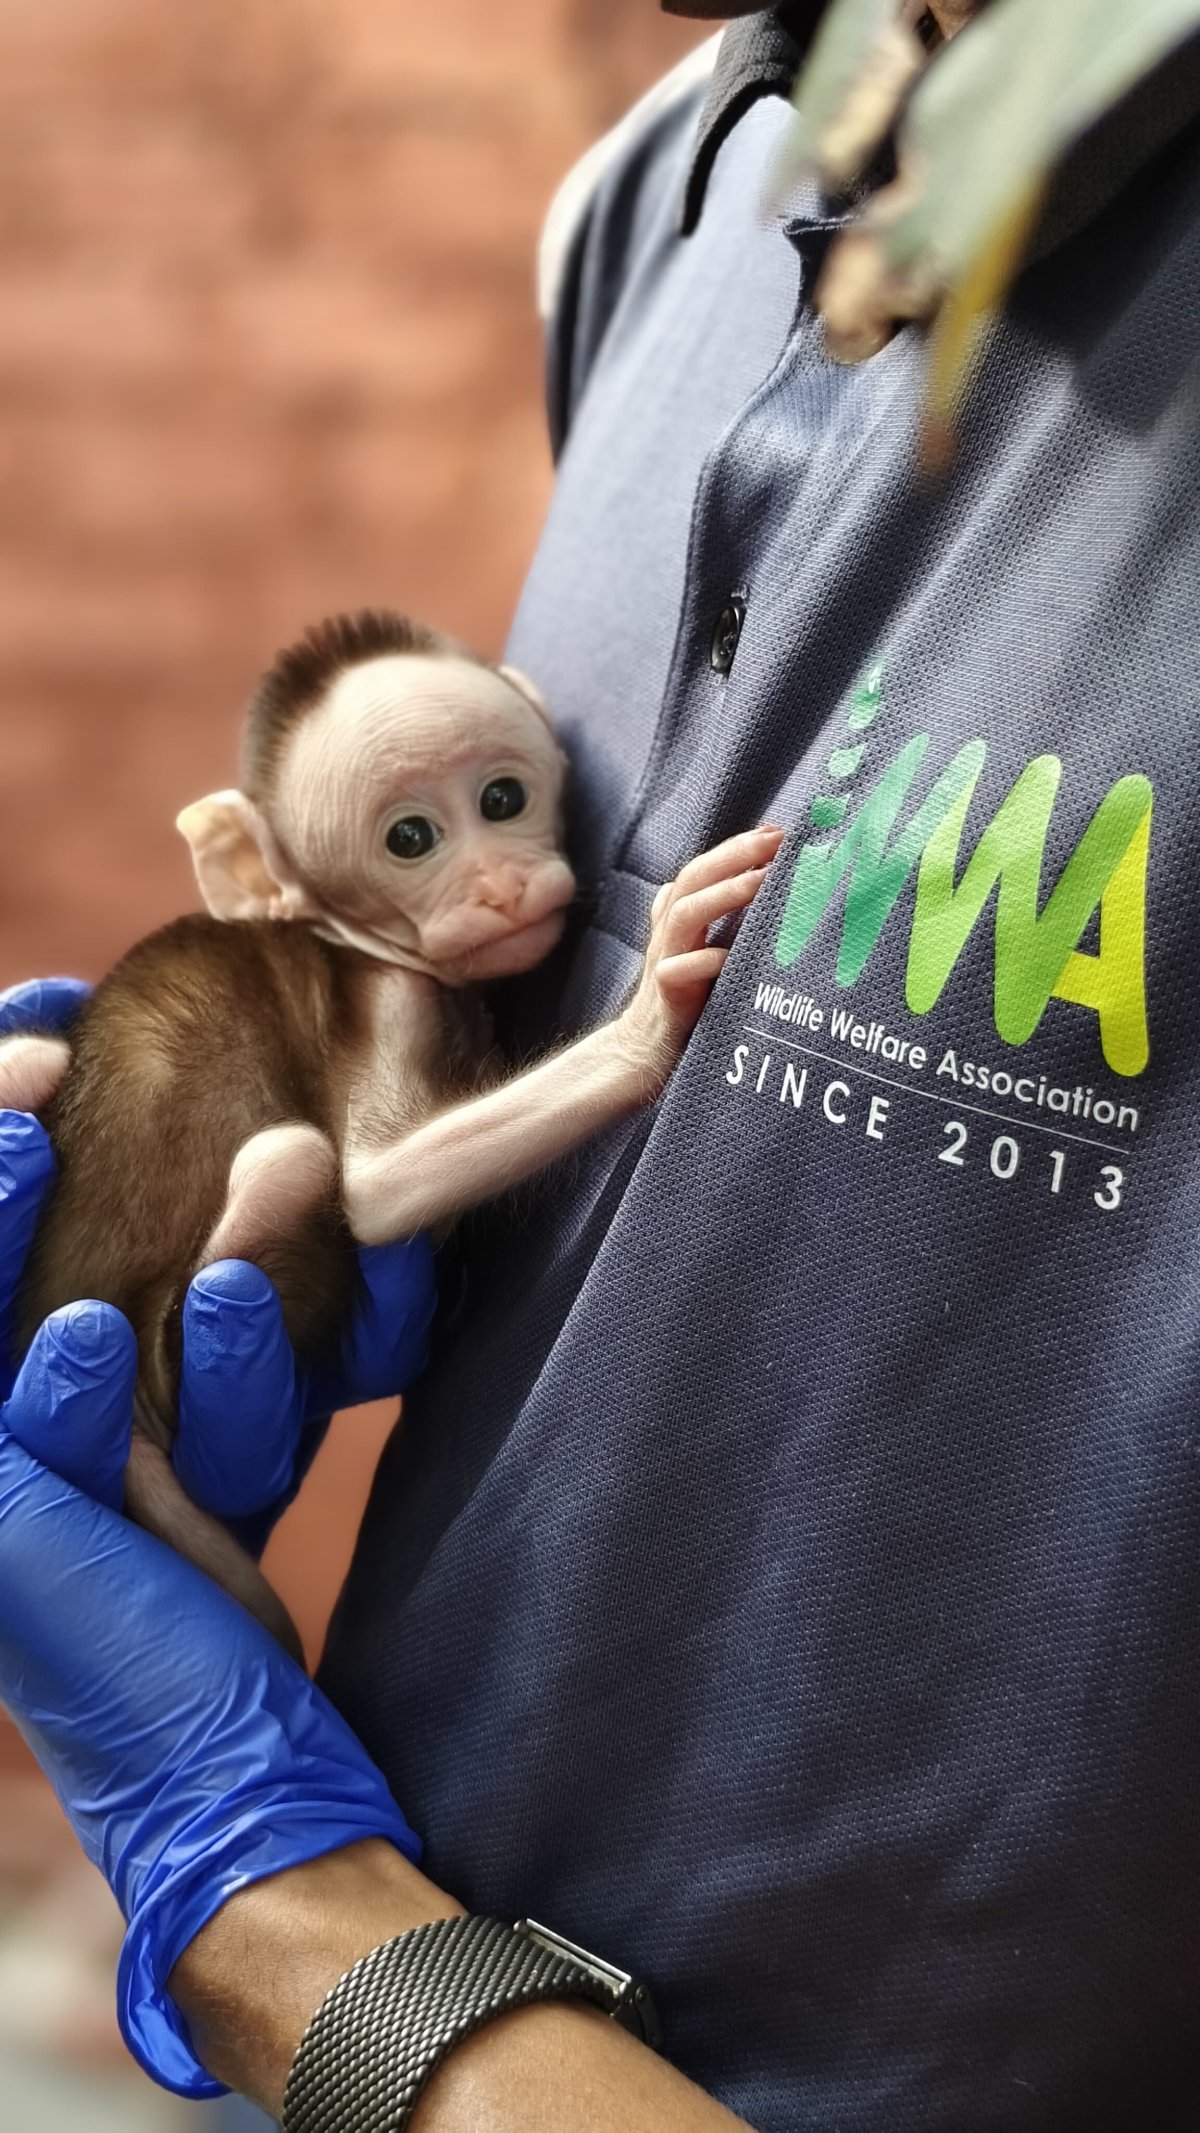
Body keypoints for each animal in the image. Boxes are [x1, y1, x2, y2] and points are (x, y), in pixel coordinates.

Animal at [0, 610, 783, 1660]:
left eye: (502, 798)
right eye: (410, 838)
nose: (499, 886)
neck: (351, 932)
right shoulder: (390, 996)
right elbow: (377, 1185)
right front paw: (652, 1013)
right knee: (295, 1164)